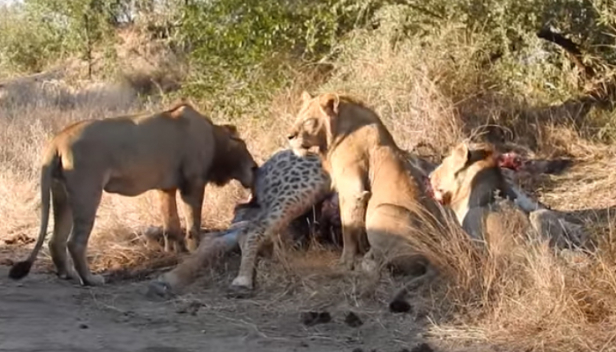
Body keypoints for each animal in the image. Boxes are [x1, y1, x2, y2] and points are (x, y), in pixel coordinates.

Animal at [8, 99, 258, 286]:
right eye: (247, 152)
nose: (255, 169)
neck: (214, 136)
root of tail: (57, 140)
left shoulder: (165, 188)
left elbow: (171, 225)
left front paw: (173, 252)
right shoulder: (193, 184)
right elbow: (193, 225)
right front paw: (195, 250)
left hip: (61, 194)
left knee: (55, 240)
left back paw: (67, 274)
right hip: (87, 191)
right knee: (75, 242)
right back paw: (90, 279)